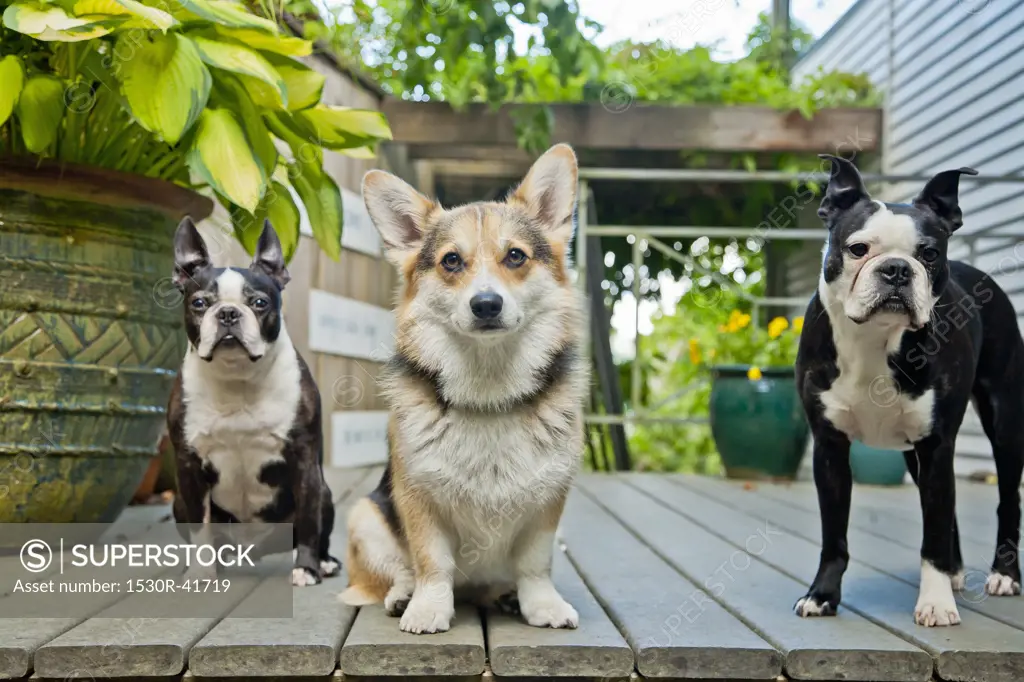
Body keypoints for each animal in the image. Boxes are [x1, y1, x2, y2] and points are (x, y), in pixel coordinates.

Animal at [166, 218, 339, 585]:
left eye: (259, 303)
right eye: (199, 303)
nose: (229, 313)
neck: (237, 378)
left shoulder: (304, 461)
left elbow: (308, 521)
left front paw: (306, 568)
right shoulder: (188, 465)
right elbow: (200, 526)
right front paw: (200, 570)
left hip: (325, 492)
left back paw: (324, 561)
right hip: (177, 504)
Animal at [790, 156, 1024, 622]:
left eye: (929, 254)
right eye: (858, 249)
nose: (896, 269)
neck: (875, 340)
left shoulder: (936, 444)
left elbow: (931, 534)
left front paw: (935, 603)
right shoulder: (830, 448)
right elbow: (834, 535)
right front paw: (822, 594)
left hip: (1004, 423)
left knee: (1008, 498)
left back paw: (1004, 574)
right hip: (917, 455)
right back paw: (955, 571)